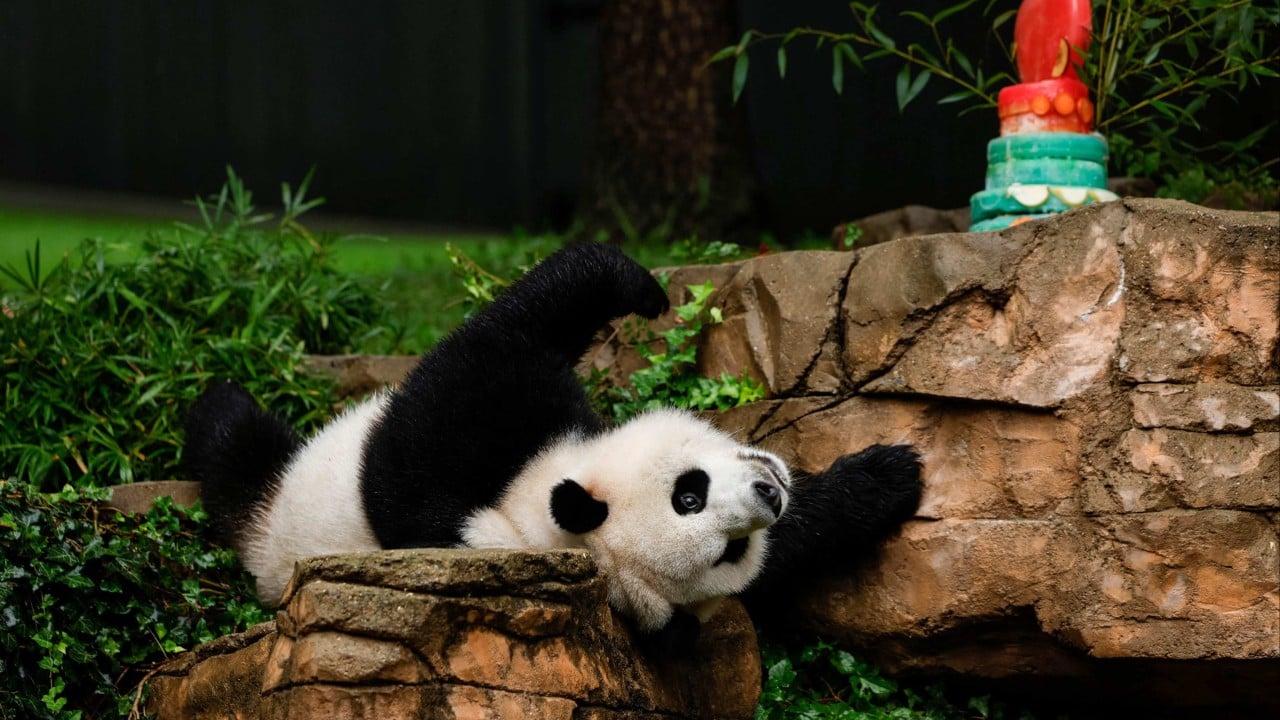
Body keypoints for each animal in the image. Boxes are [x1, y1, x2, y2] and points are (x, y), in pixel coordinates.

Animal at [184, 243, 922, 644]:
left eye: (731, 549)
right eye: (689, 496)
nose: (769, 492)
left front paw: (884, 479)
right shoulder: (465, 451)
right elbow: (485, 354)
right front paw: (640, 289)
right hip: (283, 490)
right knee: (235, 444)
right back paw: (215, 396)